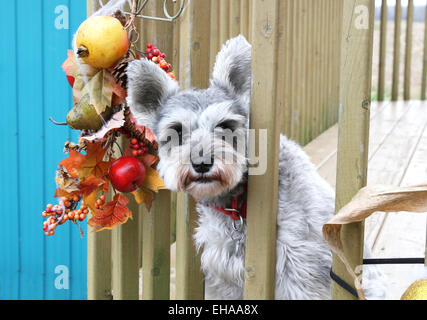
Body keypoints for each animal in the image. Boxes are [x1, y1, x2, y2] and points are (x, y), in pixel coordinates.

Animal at [127, 35, 388, 300]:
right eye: (177, 131)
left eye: (226, 125)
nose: (201, 163)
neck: (235, 205)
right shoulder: (223, 277)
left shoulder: (299, 269)